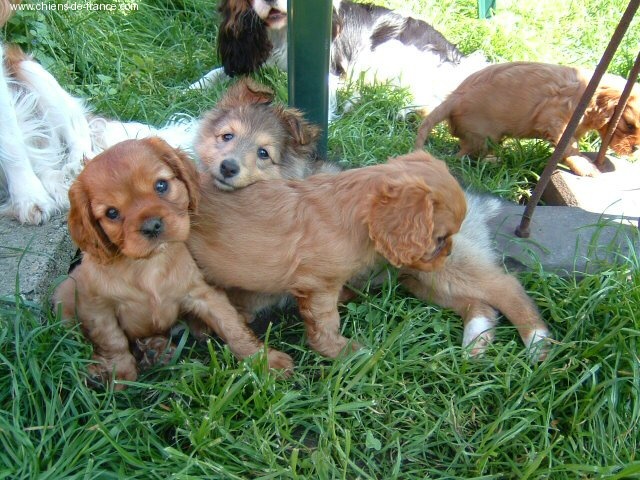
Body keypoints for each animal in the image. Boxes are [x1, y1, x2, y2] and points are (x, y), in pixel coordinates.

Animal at [52, 137, 292, 388]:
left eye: (161, 186)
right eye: (111, 213)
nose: (152, 226)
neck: (148, 267)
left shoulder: (202, 293)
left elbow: (232, 327)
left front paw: (266, 362)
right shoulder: (98, 308)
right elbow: (113, 340)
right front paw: (119, 375)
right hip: (63, 296)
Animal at [188, 152, 468, 358]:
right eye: (439, 239)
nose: (449, 253)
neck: (348, 210)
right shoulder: (320, 286)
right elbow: (327, 321)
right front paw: (340, 351)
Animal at [191, 0, 490, 117]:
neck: (281, 33)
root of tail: (457, 57)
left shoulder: (329, 72)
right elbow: (217, 72)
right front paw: (190, 88)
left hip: (390, 53)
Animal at [416, 61, 640, 177]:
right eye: (629, 125)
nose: (636, 149)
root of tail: (454, 97)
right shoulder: (555, 118)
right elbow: (570, 147)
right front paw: (585, 168)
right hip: (484, 134)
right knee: (464, 156)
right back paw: (493, 161)